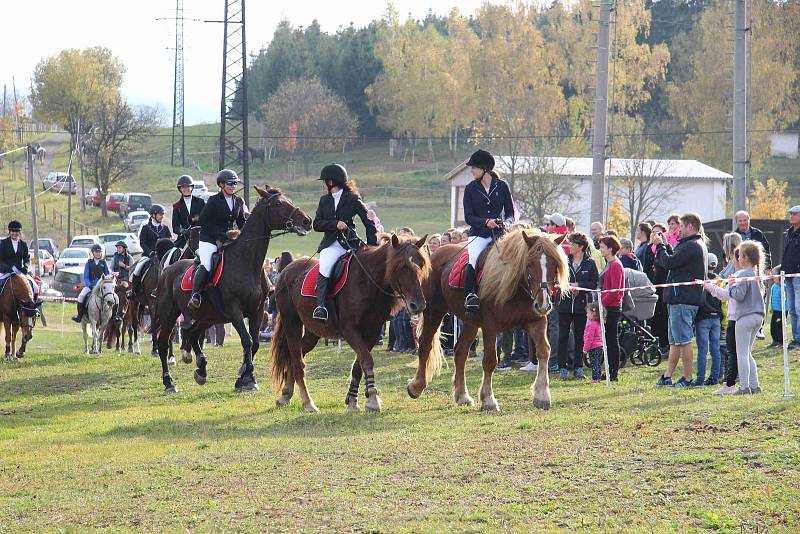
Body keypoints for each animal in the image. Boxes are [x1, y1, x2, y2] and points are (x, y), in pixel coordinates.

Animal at [153, 186, 312, 396]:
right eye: (278, 203)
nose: (307, 221)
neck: (246, 263)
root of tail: (166, 270)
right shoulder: (234, 310)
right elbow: (246, 340)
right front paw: (248, 378)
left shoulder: (257, 311)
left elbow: (255, 343)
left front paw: (244, 376)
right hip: (169, 314)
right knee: (164, 344)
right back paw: (169, 382)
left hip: (208, 316)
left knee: (192, 334)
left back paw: (200, 370)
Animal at [268, 234, 432, 414]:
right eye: (401, 266)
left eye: (421, 264)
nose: (418, 305)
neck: (367, 282)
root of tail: (287, 270)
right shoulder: (349, 330)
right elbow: (366, 360)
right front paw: (372, 400)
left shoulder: (372, 332)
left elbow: (358, 366)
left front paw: (353, 401)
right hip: (292, 324)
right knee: (298, 362)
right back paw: (308, 403)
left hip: (312, 332)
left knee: (294, 358)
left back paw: (285, 396)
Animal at [406, 228, 568, 412]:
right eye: (529, 264)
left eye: (554, 264)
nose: (543, 303)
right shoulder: (490, 325)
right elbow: (490, 360)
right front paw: (489, 400)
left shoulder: (536, 321)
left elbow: (543, 351)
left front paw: (542, 396)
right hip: (434, 312)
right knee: (425, 345)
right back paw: (416, 386)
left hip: (470, 322)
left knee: (460, 352)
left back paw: (462, 395)